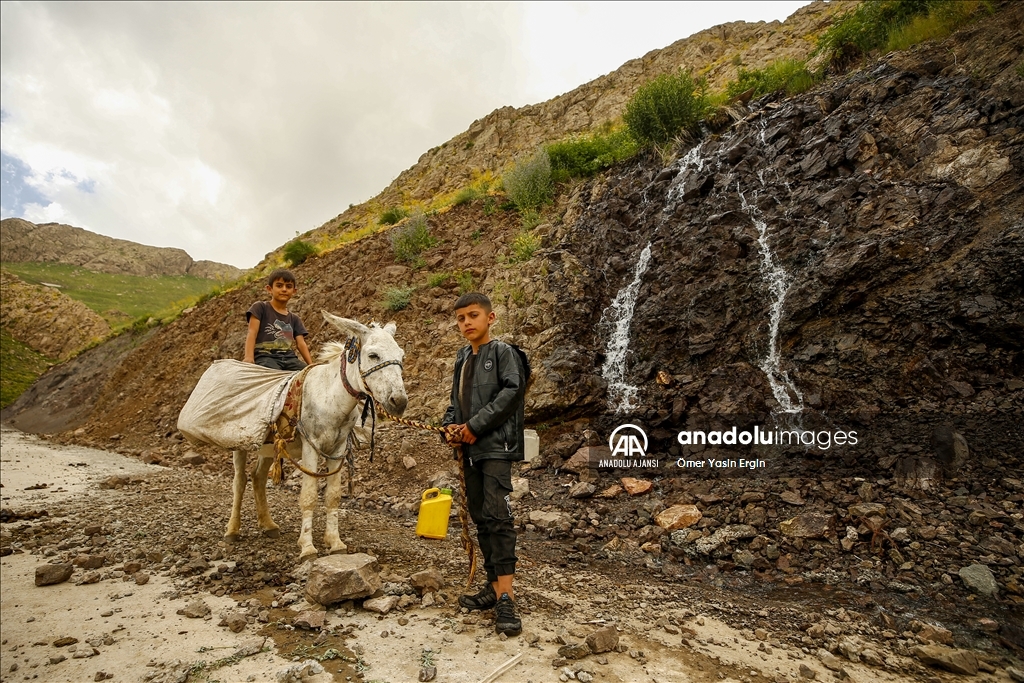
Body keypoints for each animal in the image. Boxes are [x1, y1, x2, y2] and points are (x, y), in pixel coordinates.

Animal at [224, 312, 408, 562]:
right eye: (373, 355)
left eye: (402, 356)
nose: (399, 402)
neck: (330, 397)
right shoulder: (310, 448)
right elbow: (309, 495)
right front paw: (307, 548)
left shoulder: (338, 450)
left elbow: (333, 496)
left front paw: (335, 542)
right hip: (240, 443)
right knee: (239, 481)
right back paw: (232, 530)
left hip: (270, 447)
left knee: (258, 477)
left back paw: (268, 525)